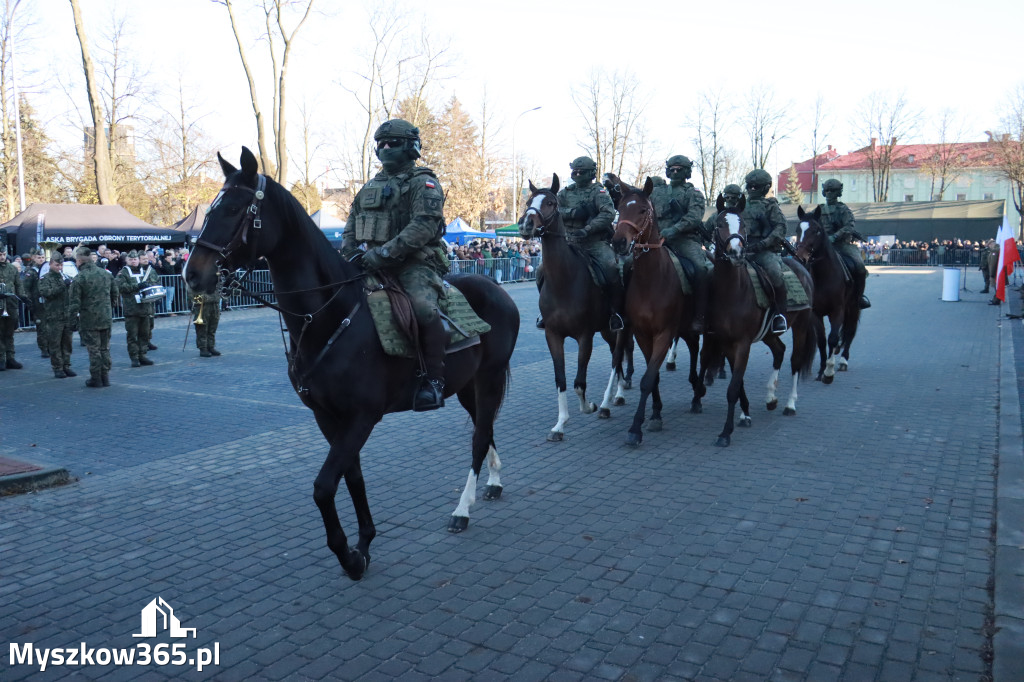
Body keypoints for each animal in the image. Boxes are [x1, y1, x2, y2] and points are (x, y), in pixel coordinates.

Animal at [184, 146, 520, 577]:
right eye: (210, 210)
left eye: (234, 209)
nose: (192, 275)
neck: (330, 315)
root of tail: (496, 287)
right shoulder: (328, 417)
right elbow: (353, 477)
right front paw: (364, 543)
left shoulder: (362, 417)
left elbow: (325, 485)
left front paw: (347, 554)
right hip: (466, 386)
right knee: (484, 427)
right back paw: (493, 483)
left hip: (489, 378)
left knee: (478, 438)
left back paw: (462, 510)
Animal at [524, 174, 626, 440]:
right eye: (528, 201)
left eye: (550, 202)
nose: (526, 224)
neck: (564, 280)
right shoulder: (553, 335)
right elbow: (561, 379)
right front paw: (560, 424)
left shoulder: (584, 336)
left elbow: (580, 383)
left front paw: (589, 406)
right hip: (606, 330)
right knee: (617, 356)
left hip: (618, 328)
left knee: (618, 356)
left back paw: (606, 403)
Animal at [606, 174, 704, 446]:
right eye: (619, 209)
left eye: (642, 210)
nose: (618, 242)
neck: (651, 280)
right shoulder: (642, 333)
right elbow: (653, 376)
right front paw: (656, 413)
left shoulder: (664, 333)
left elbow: (648, 378)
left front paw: (635, 428)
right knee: (694, 347)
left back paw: (698, 393)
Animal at [704, 195, 815, 446]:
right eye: (719, 224)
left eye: (743, 224)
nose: (736, 252)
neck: (731, 291)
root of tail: (802, 266)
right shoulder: (726, 343)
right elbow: (738, 384)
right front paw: (744, 415)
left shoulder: (743, 343)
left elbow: (733, 387)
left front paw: (726, 432)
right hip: (768, 334)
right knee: (779, 351)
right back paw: (771, 397)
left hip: (801, 325)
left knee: (795, 360)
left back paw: (789, 404)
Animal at [794, 204, 860, 382]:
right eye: (798, 229)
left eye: (816, 230)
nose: (801, 257)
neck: (823, 275)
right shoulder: (816, 313)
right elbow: (822, 340)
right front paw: (822, 370)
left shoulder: (837, 310)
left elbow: (833, 338)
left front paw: (829, 372)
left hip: (853, 307)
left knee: (850, 331)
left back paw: (843, 360)